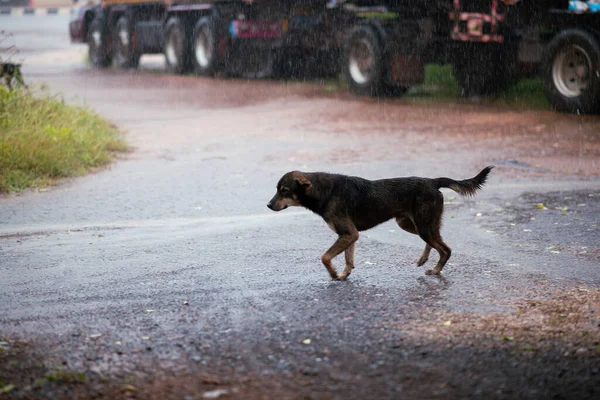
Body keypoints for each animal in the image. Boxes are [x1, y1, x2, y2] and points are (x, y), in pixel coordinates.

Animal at [268, 166, 492, 282]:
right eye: (277, 189)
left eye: (285, 191)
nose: (268, 205)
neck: (324, 191)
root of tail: (432, 181)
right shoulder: (349, 235)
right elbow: (348, 259)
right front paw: (344, 274)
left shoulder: (349, 234)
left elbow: (325, 257)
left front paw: (333, 273)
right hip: (412, 224)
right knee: (435, 242)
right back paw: (423, 259)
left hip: (423, 225)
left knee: (445, 249)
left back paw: (436, 270)